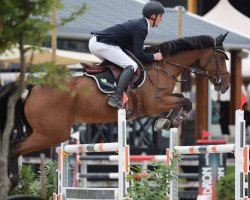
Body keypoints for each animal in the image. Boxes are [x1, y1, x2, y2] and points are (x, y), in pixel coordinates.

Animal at [0, 33, 230, 189]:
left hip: (40, 131)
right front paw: (169, 121)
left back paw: (11, 182)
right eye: (222, 58)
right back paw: (13, 182)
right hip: (51, 133)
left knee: (12, 146)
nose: (225, 86)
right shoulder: (156, 104)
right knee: (14, 148)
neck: (163, 65)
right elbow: (186, 102)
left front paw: (167, 122)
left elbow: (183, 100)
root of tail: (33, 86)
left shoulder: (162, 101)